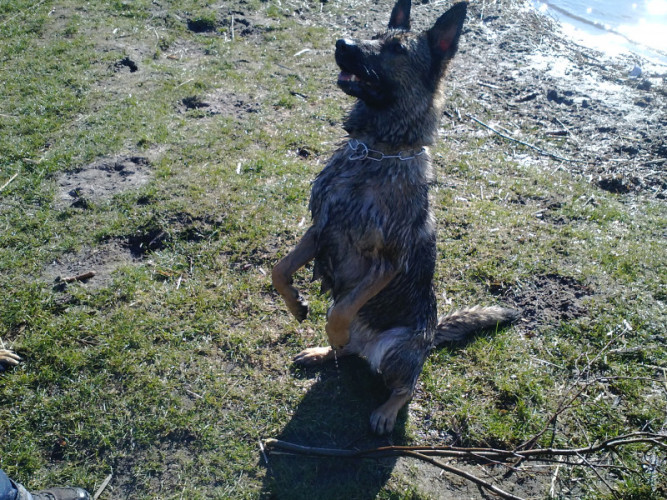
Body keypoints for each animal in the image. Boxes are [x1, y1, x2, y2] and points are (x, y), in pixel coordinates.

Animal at [272, 0, 516, 434]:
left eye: (397, 51)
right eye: (374, 35)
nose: (342, 43)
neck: (374, 151)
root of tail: (431, 336)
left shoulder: (386, 259)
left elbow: (341, 308)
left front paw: (330, 324)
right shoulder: (321, 229)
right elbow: (279, 269)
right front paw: (297, 304)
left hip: (397, 352)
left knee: (405, 387)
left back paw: (384, 408)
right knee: (347, 352)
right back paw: (321, 351)